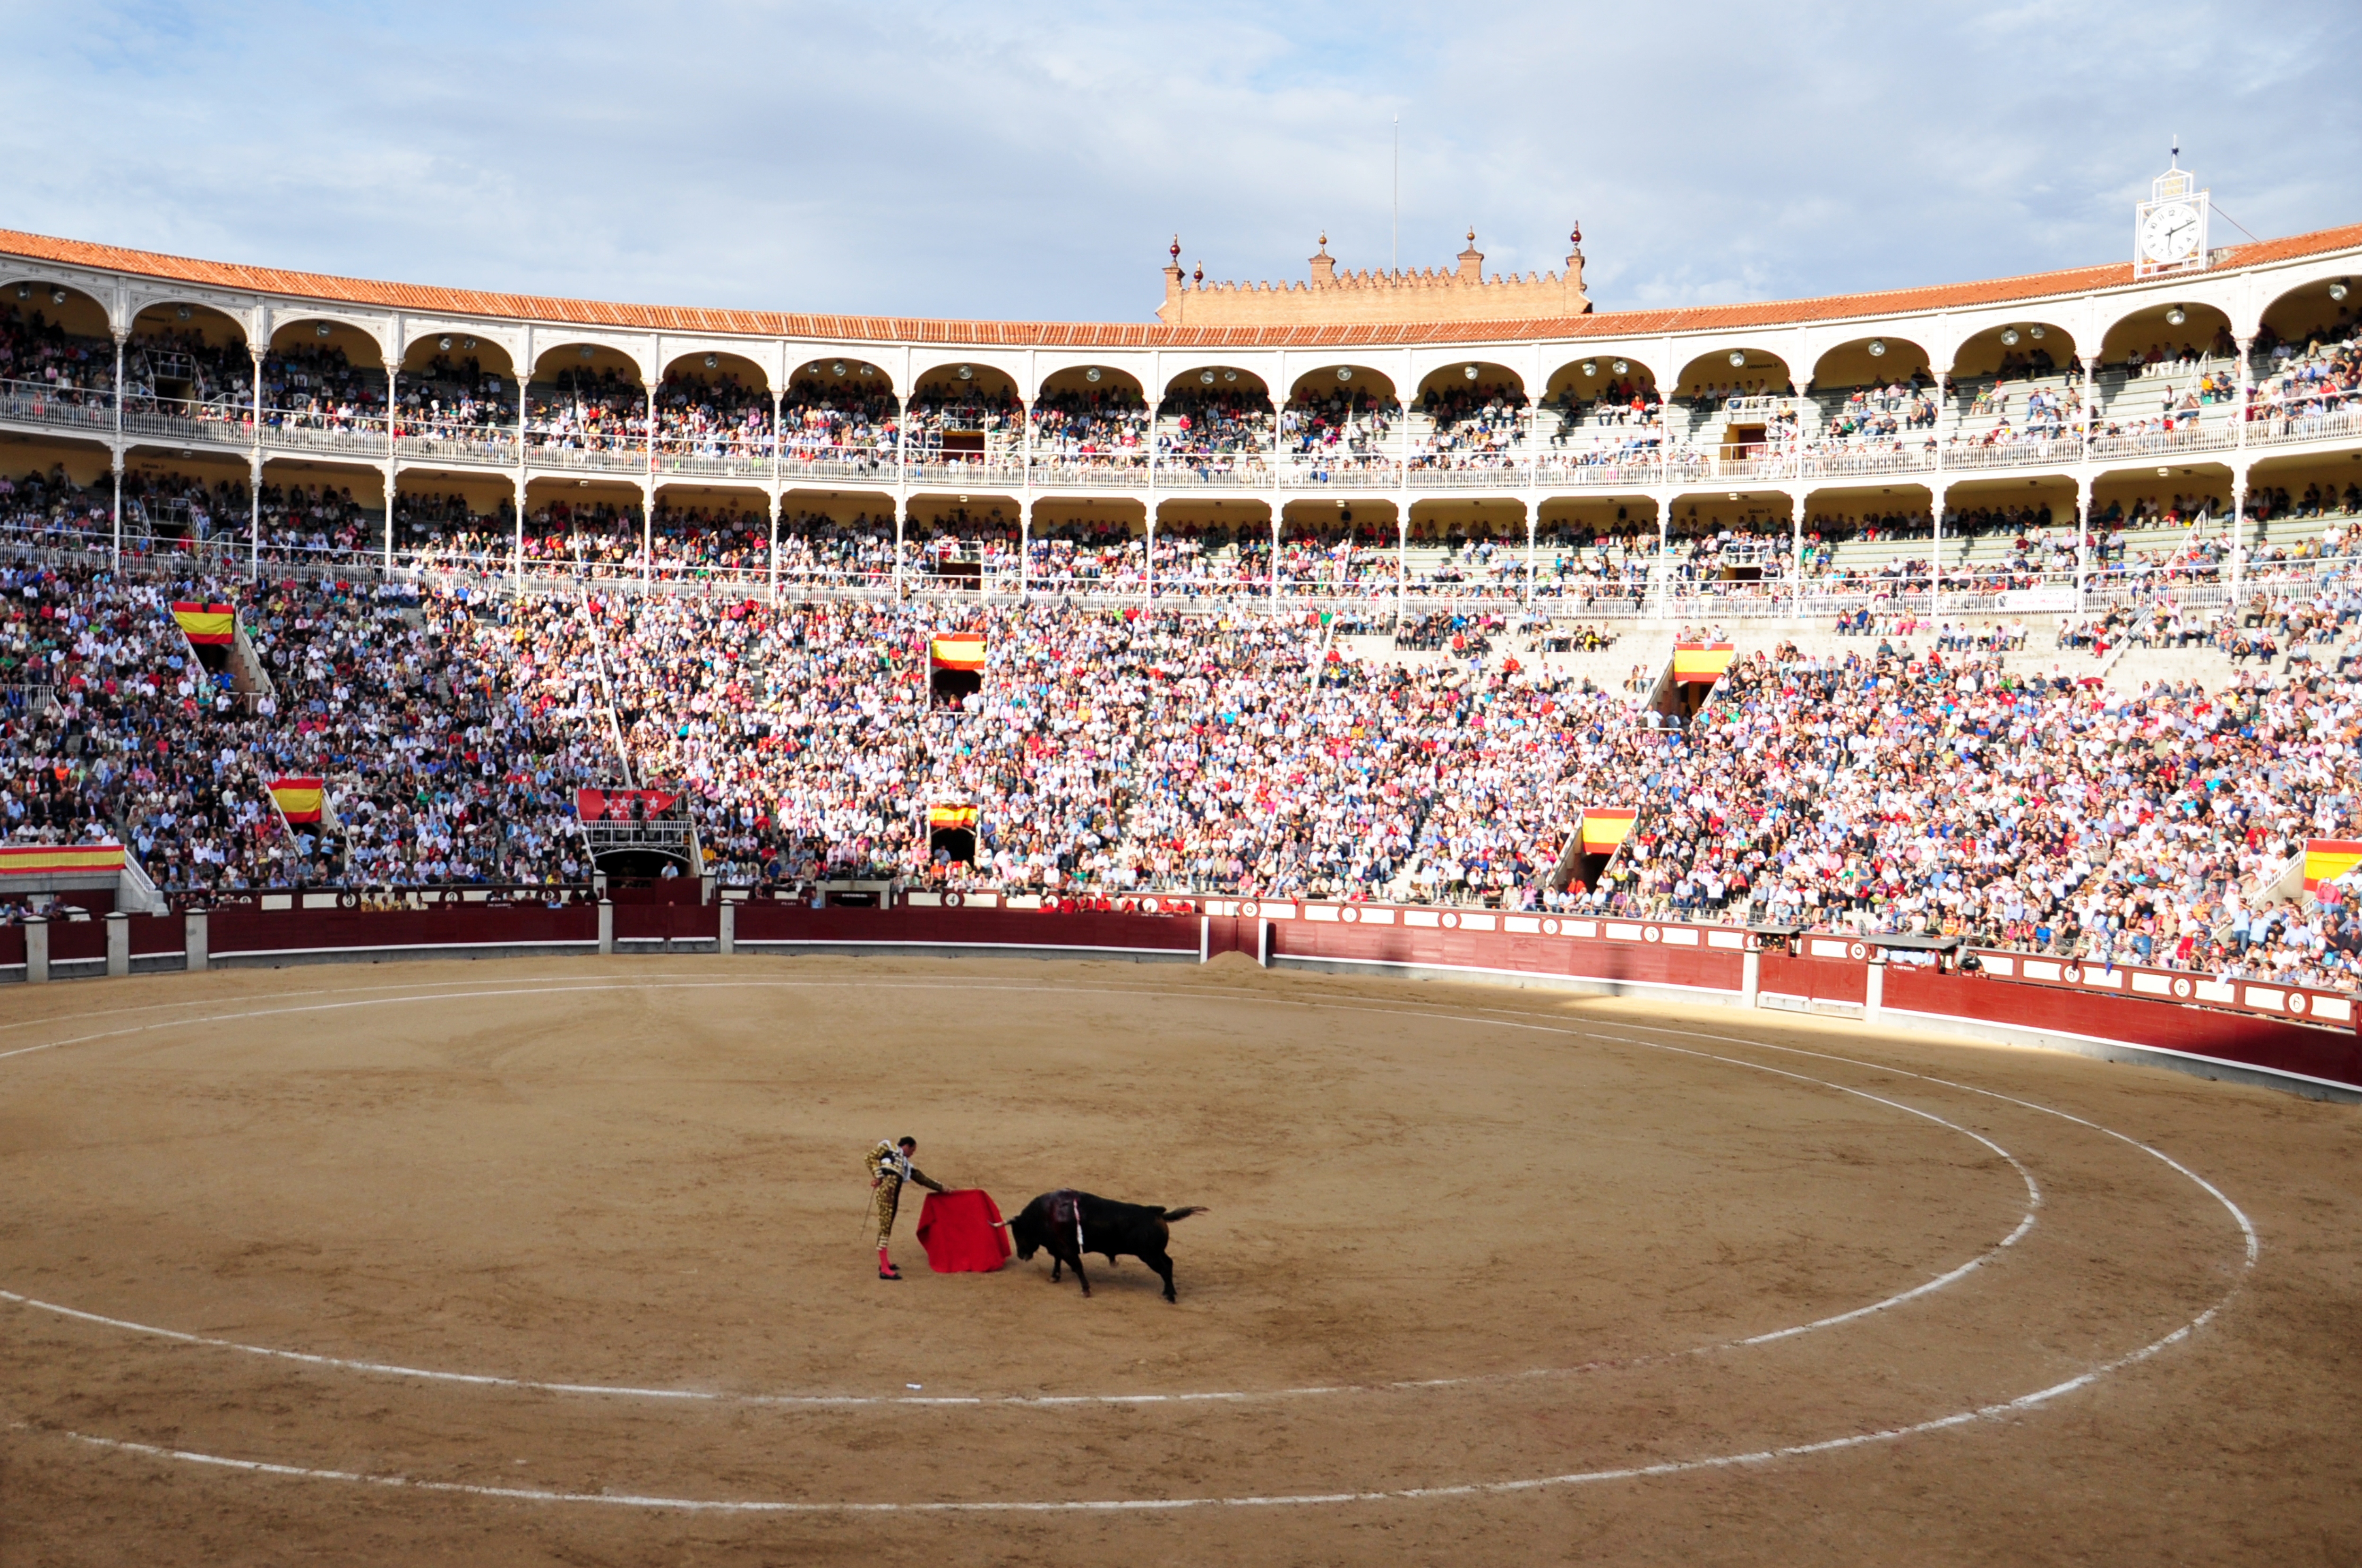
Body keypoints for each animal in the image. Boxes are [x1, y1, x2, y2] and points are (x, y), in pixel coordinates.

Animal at [1006, 1190, 1209, 1294]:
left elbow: (1077, 1266)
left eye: (1018, 1232)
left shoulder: (1066, 1248)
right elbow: (1058, 1260)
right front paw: (1055, 1277)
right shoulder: (1059, 1246)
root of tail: (1157, 1213)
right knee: (1169, 1264)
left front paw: (1086, 1290)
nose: (1021, 1255)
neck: (1046, 1213)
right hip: (1157, 1253)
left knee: (1165, 1269)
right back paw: (1169, 1292)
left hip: (1150, 1256)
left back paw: (1170, 1296)